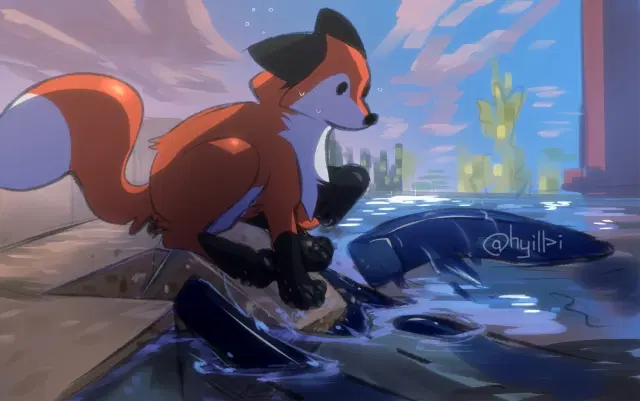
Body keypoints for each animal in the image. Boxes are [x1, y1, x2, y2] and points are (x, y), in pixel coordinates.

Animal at [0, 8, 375, 310]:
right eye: (341, 88)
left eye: (365, 89)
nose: (371, 118)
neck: (304, 136)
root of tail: (148, 192)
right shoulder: (281, 182)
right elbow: (286, 244)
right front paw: (301, 292)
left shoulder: (303, 183)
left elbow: (354, 178)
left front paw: (317, 232)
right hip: (237, 154)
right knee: (179, 236)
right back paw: (250, 265)